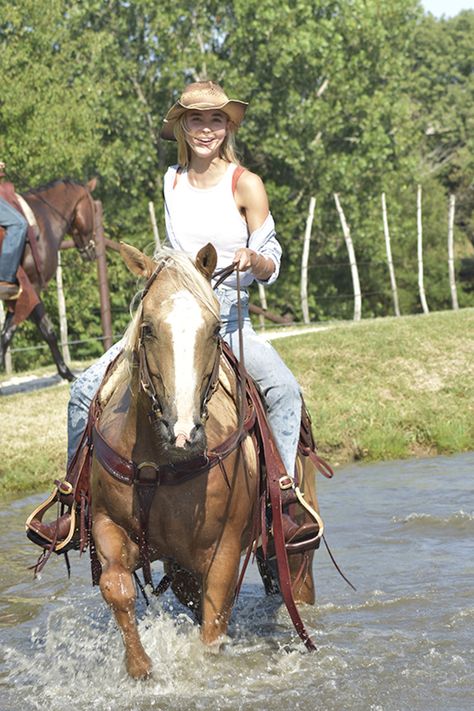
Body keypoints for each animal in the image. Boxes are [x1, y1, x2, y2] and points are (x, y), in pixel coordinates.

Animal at [0, 178, 98, 384]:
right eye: (94, 208)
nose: (91, 250)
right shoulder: (32, 288)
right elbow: (47, 330)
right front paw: (66, 372)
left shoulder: (17, 294)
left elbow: (6, 334)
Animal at [90, 243, 320, 680]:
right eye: (148, 328)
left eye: (214, 330)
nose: (183, 432)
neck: (158, 466)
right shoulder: (107, 525)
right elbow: (117, 588)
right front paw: (141, 667)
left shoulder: (223, 553)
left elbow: (212, 634)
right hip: (180, 569)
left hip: (296, 549)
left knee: (299, 588)